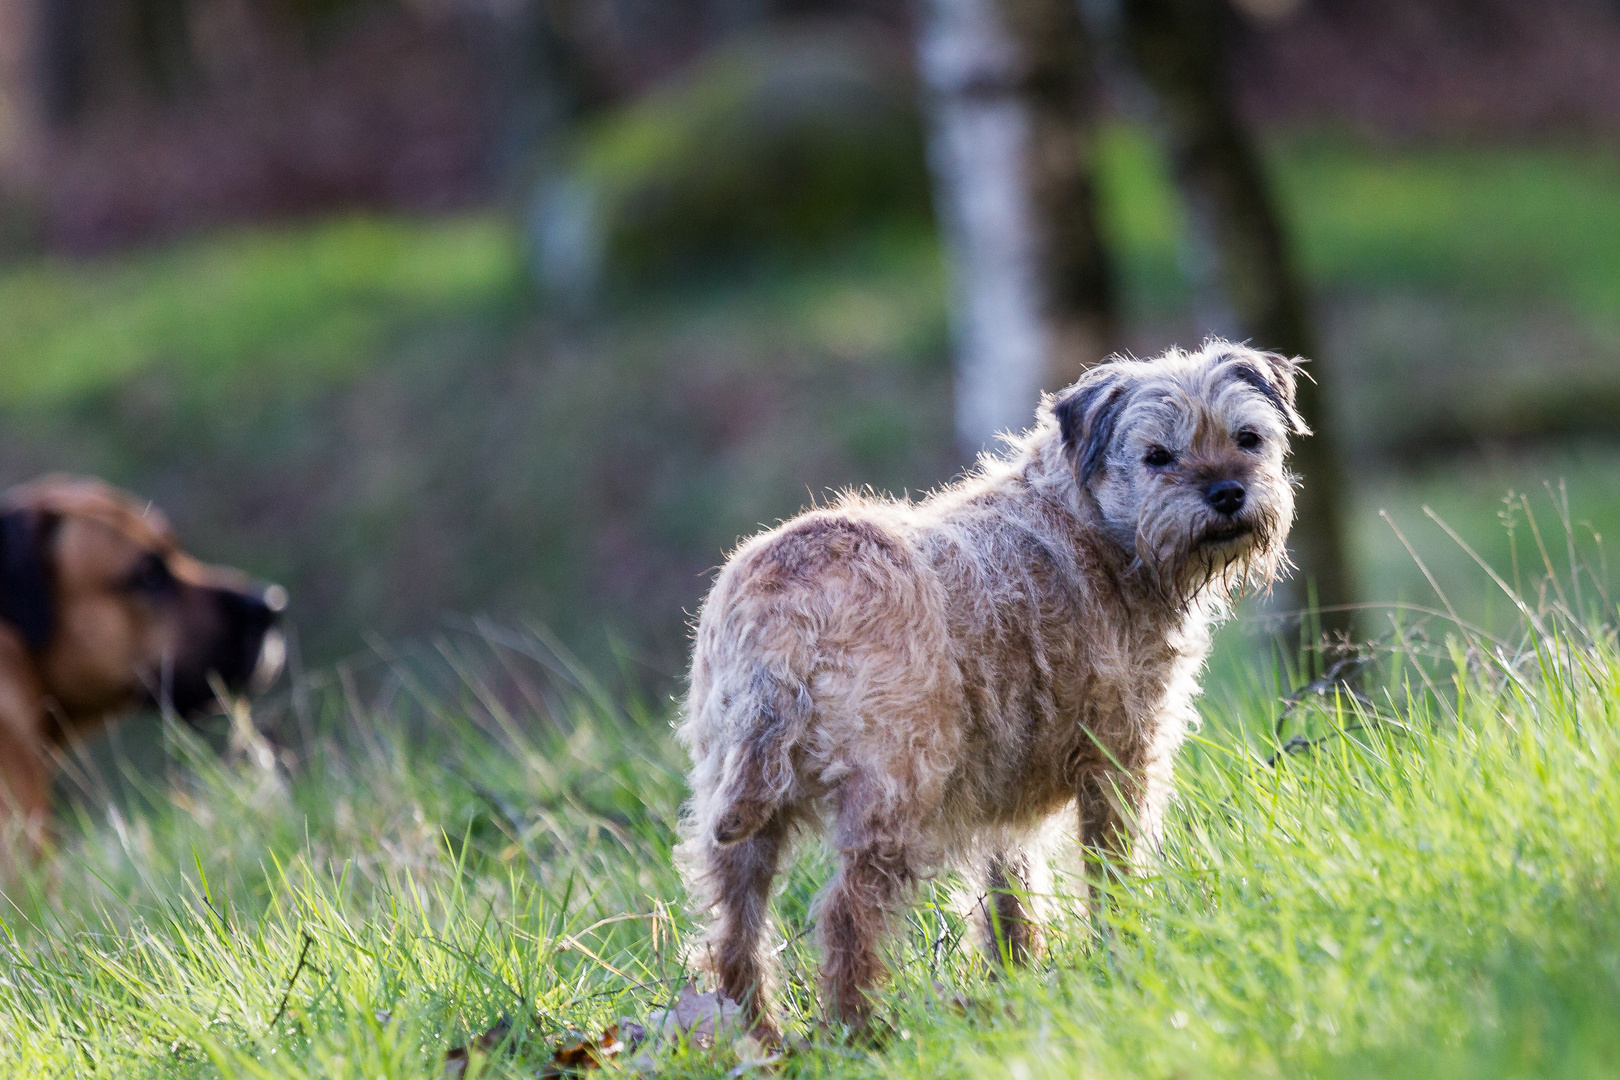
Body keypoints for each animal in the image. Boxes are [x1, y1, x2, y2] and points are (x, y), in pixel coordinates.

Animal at [677, 340, 1308, 1036]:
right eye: (1157, 457)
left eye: (1248, 438)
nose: (1227, 492)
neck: (1092, 524)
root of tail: (782, 605)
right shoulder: (1119, 761)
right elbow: (1111, 872)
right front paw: (1123, 953)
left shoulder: (1003, 795)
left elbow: (1011, 894)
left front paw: (1018, 979)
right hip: (894, 798)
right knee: (847, 914)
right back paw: (861, 1030)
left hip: (735, 806)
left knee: (734, 932)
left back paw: (759, 1035)